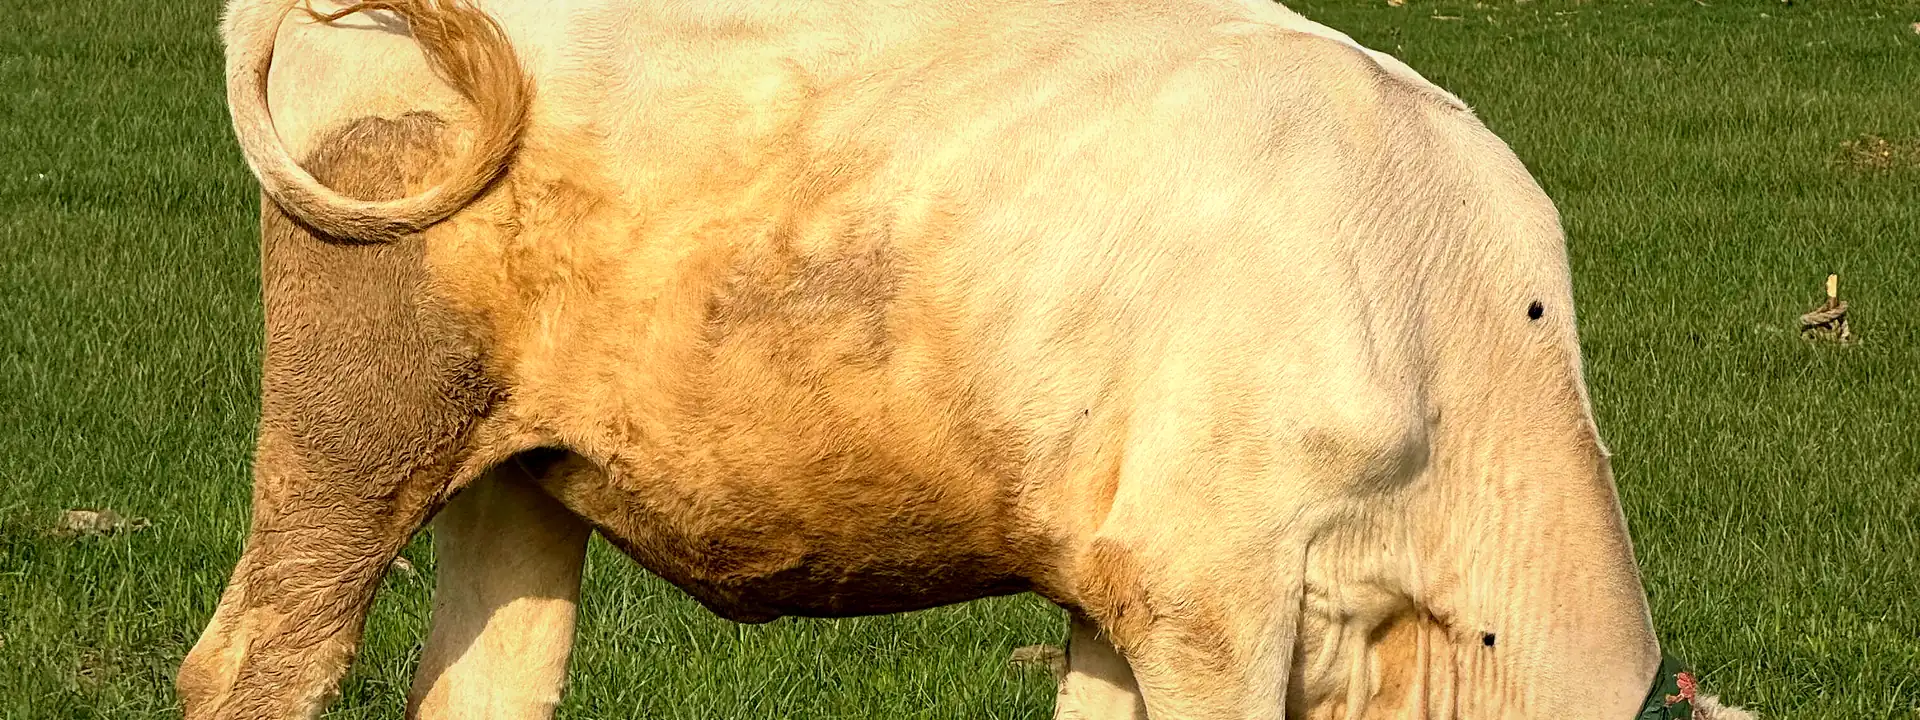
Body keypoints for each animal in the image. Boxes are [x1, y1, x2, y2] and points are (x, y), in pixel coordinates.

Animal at [178, 0, 1694, 718]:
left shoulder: (1122, 592)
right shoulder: (1214, 594)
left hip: (515, 468)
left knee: (482, 684)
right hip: (357, 431)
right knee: (258, 667)